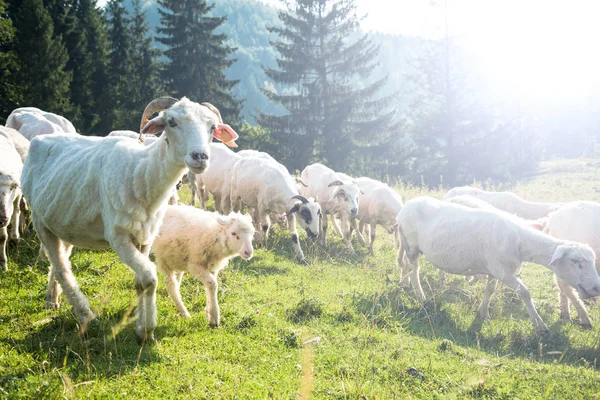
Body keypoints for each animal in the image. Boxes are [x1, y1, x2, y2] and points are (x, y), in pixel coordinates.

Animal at [19, 95, 239, 342]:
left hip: (63, 222)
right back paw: (84, 313)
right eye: (171, 122)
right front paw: (148, 330)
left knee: (60, 260)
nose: (200, 156)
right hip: (39, 220)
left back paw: (52, 298)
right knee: (61, 267)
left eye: (212, 128)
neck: (140, 173)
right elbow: (149, 278)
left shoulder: (145, 237)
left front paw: (140, 327)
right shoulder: (119, 237)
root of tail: (41, 138)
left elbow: (139, 282)